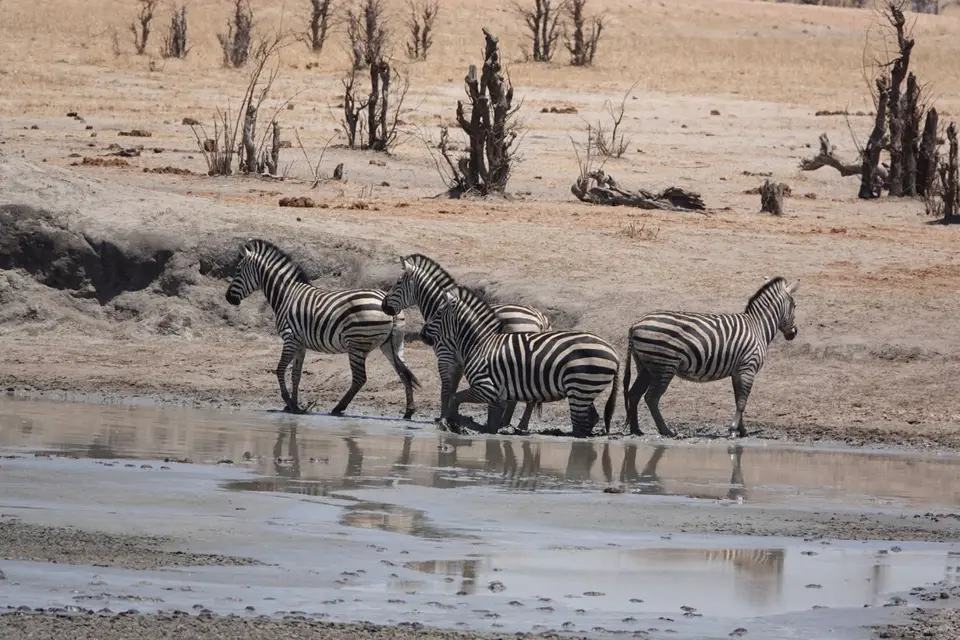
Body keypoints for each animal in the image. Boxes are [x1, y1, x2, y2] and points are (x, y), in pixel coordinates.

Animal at [225, 239, 421, 418]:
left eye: (238, 270)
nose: (228, 298)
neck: (286, 295)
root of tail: (387, 304)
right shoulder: (300, 343)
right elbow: (296, 374)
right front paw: (293, 405)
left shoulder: (290, 337)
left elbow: (280, 369)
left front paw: (289, 402)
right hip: (391, 344)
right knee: (404, 374)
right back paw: (408, 412)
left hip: (356, 343)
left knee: (360, 378)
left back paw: (338, 408)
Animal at [380, 254, 552, 431]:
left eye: (398, 283)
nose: (383, 306)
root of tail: (539, 318)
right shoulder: (459, 361)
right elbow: (453, 388)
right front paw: (450, 417)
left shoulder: (445, 354)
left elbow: (446, 389)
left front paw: (444, 418)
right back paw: (512, 424)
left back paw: (516, 424)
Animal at [420, 285, 620, 438]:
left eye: (438, 313)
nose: (422, 335)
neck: (480, 343)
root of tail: (615, 354)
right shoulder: (498, 396)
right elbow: (491, 426)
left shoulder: (485, 388)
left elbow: (454, 397)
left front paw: (452, 423)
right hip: (584, 389)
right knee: (592, 418)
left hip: (579, 388)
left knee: (580, 426)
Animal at [624, 277, 799, 438]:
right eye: (795, 306)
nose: (793, 333)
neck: (758, 327)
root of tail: (635, 324)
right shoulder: (748, 367)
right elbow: (742, 402)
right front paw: (733, 430)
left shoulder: (737, 372)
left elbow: (738, 400)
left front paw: (741, 430)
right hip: (664, 365)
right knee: (651, 398)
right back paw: (666, 431)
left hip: (646, 366)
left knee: (634, 394)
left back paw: (636, 430)